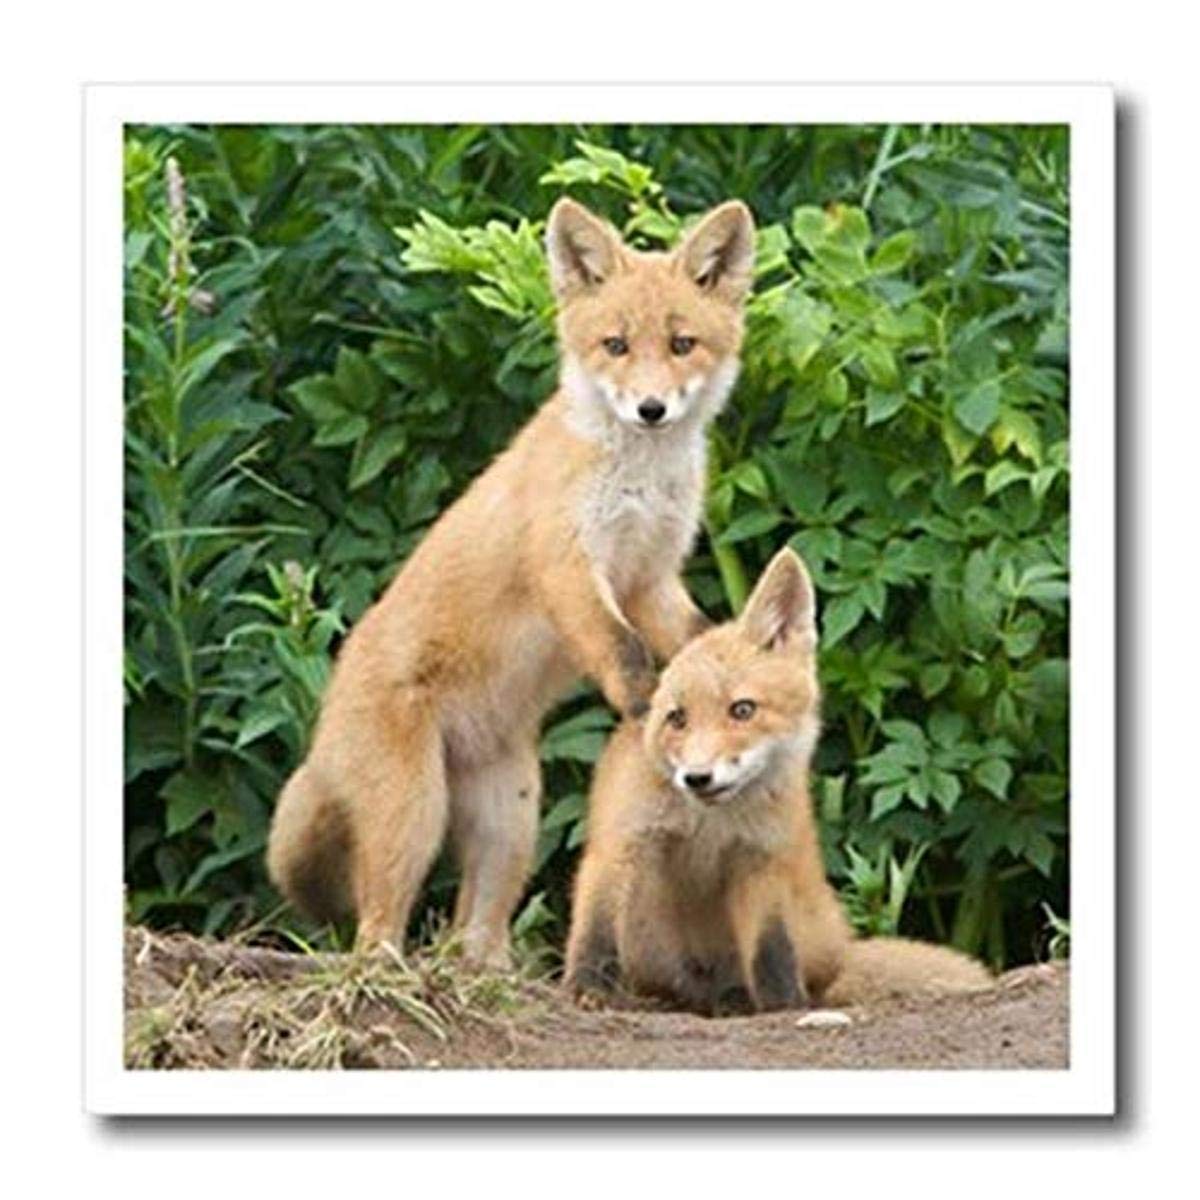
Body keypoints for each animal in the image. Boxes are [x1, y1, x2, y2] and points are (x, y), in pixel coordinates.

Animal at [267, 197, 758, 969]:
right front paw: (643, 707)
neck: (639, 481)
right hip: (414, 815)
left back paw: (489, 972)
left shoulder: (650, 576)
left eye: (682, 344)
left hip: (513, 822)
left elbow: (690, 636)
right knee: (378, 922)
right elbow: (620, 649)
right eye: (616, 345)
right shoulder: (569, 565)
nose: (651, 409)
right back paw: (385, 972)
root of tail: (325, 711)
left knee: (477, 928)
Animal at [563, 547, 991, 1014]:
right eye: (676, 719)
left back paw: (742, 999)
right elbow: (596, 930)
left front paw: (784, 1005)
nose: (697, 778)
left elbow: (772, 951)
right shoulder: (621, 843)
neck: (708, 824)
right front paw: (587, 989)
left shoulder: (762, 860)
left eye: (743, 710)